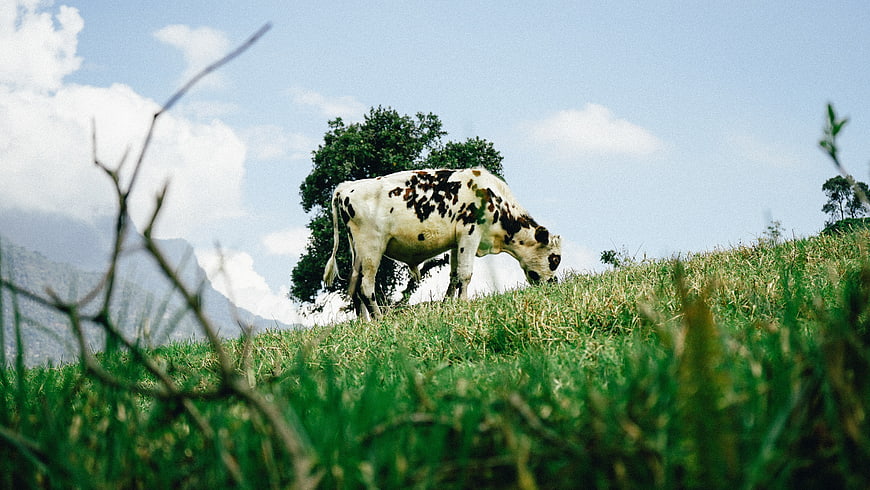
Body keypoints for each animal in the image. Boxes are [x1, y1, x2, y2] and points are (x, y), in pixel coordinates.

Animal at [322, 168, 562, 319]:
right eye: (555, 259)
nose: (554, 284)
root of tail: (347, 186)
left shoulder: (457, 242)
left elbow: (454, 276)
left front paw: (448, 304)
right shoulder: (470, 233)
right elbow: (465, 274)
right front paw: (464, 304)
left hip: (358, 252)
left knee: (354, 286)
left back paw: (364, 322)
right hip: (372, 246)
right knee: (366, 286)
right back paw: (379, 319)